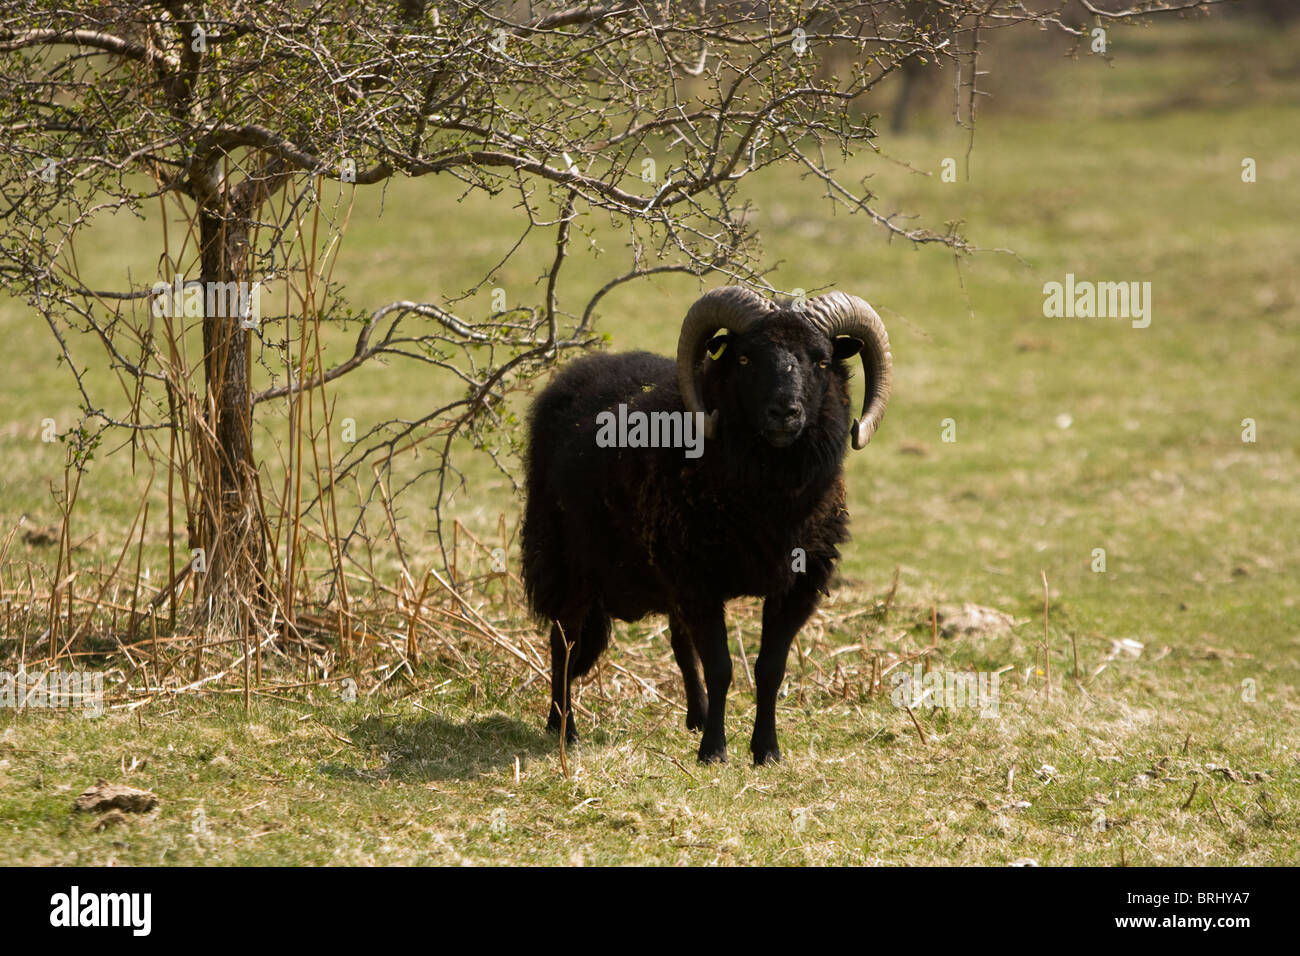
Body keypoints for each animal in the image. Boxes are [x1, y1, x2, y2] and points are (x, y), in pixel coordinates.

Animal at [521, 286, 892, 764]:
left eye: (822, 360)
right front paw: (714, 750)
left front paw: (766, 750)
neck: (769, 500)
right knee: (562, 642)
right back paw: (562, 727)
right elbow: (720, 667)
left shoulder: (798, 584)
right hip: (568, 561)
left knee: (679, 644)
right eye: (745, 358)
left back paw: (694, 716)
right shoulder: (698, 579)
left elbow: (769, 669)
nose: (785, 413)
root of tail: (575, 374)